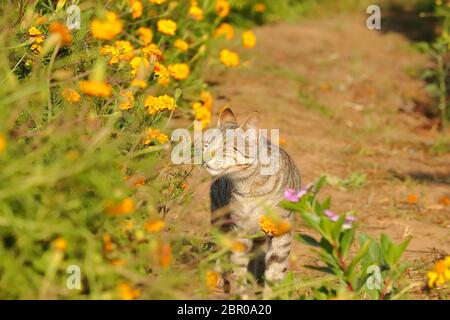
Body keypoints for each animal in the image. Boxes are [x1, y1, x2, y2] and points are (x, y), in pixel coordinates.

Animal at [204, 108, 302, 298]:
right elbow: (238, 267)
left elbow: (275, 271)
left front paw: (268, 292)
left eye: (224, 148)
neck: (250, 188)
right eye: (205, 145)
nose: (205, 157)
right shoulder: (239, 229)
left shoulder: (281, 230)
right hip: (219, 217)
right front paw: (243, 292)